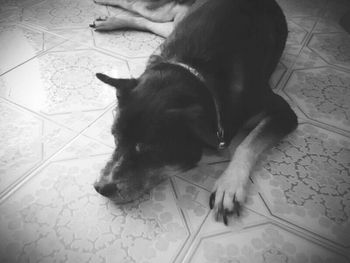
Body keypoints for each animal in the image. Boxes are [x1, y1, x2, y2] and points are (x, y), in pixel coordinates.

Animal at [91, 0, 296, 226]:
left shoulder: (283, 112)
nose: (100, 188)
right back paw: (109, 19)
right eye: (115, 137)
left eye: (148, 151)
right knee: (142, 10)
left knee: (157, 23)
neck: (199, 76)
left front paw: (230, 185)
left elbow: (247, 144)